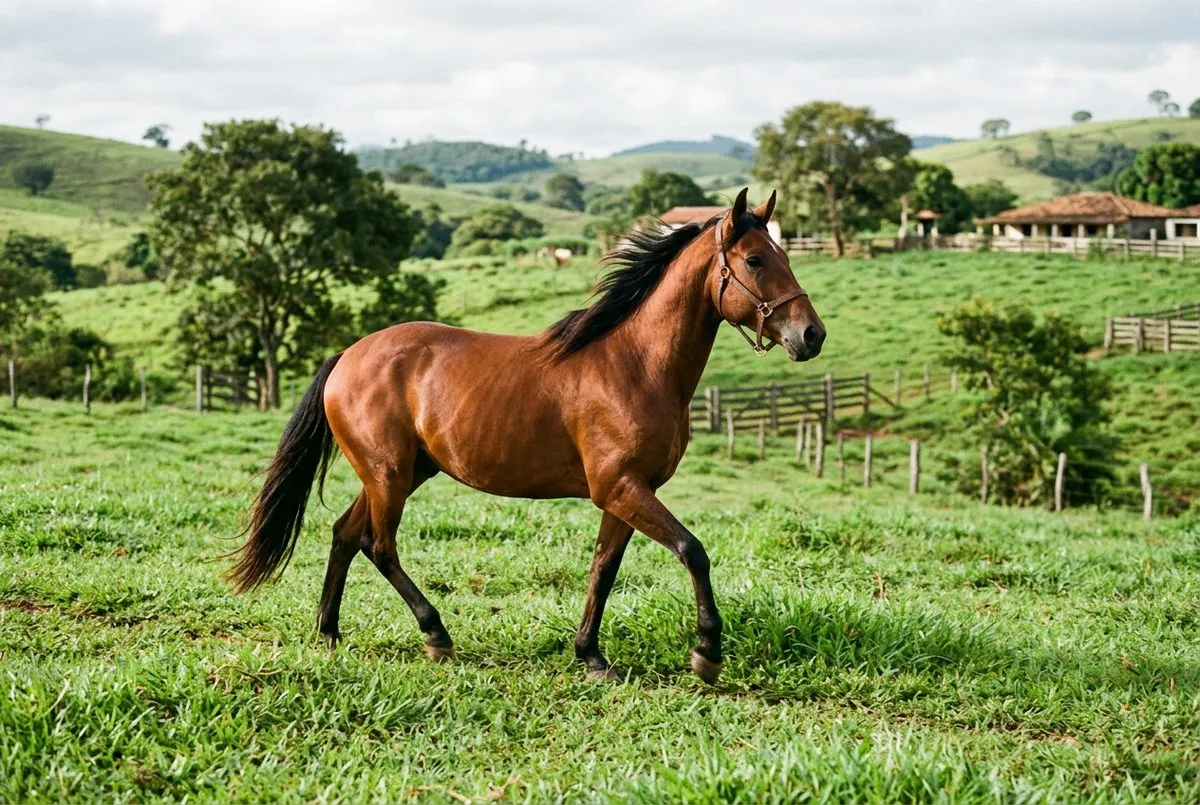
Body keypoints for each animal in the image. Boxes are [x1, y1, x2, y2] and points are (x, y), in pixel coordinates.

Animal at [226, 189, 826, 684]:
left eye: (786, 255)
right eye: (755, 260)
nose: (811, 335)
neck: (635, 365)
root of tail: (348, 355)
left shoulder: (626, 493)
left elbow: (603, 569)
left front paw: (591, 656)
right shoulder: (621, 487)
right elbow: (692, 550)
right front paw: (706, 653)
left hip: (404, 471)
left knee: (345, 534)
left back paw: (327, 633)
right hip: (389, 474)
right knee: (378, 544)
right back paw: (435, 635)